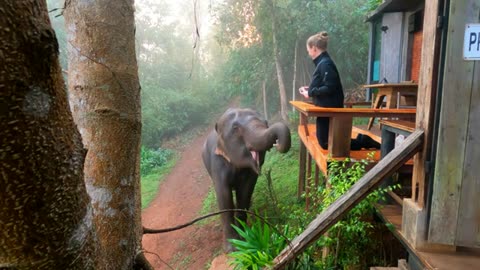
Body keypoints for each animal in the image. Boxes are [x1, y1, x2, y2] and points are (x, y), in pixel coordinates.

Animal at [201, 107, 290, 251]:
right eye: (235, 128)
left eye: (266, 122)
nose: (276, 143)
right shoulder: (217, 162)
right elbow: (224, 196)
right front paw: (232, 248)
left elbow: (245, 192)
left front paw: (244, 237)